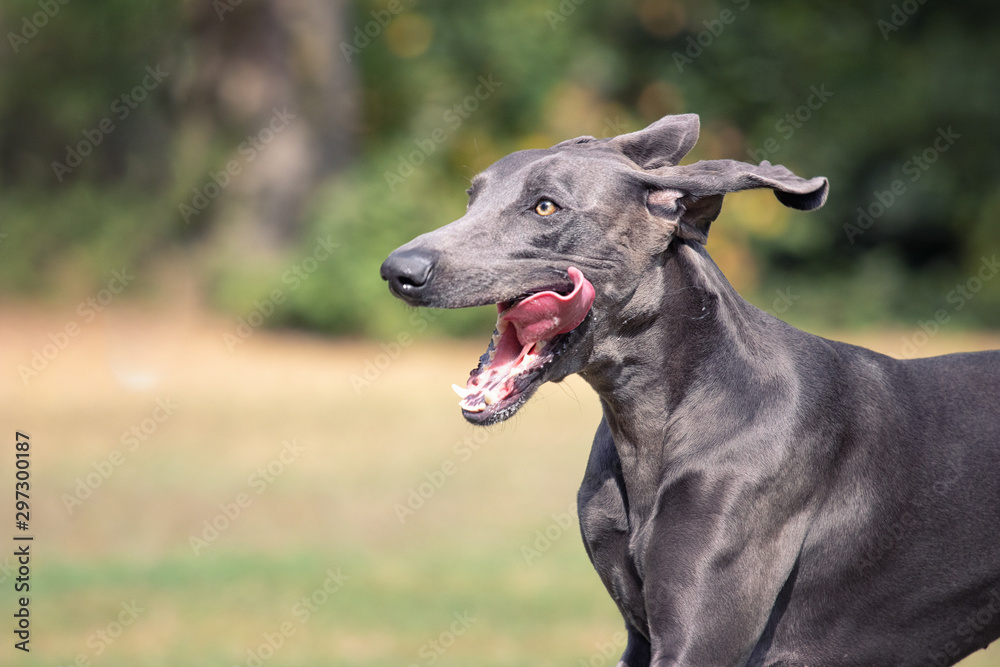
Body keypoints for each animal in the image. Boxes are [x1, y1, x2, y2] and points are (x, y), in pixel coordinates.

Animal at [378, 115, 996, 667]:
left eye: (546, 206)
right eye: (470, 198)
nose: (397, 270)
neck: (653, 423)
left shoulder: (700, 640)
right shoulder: (640, 636)